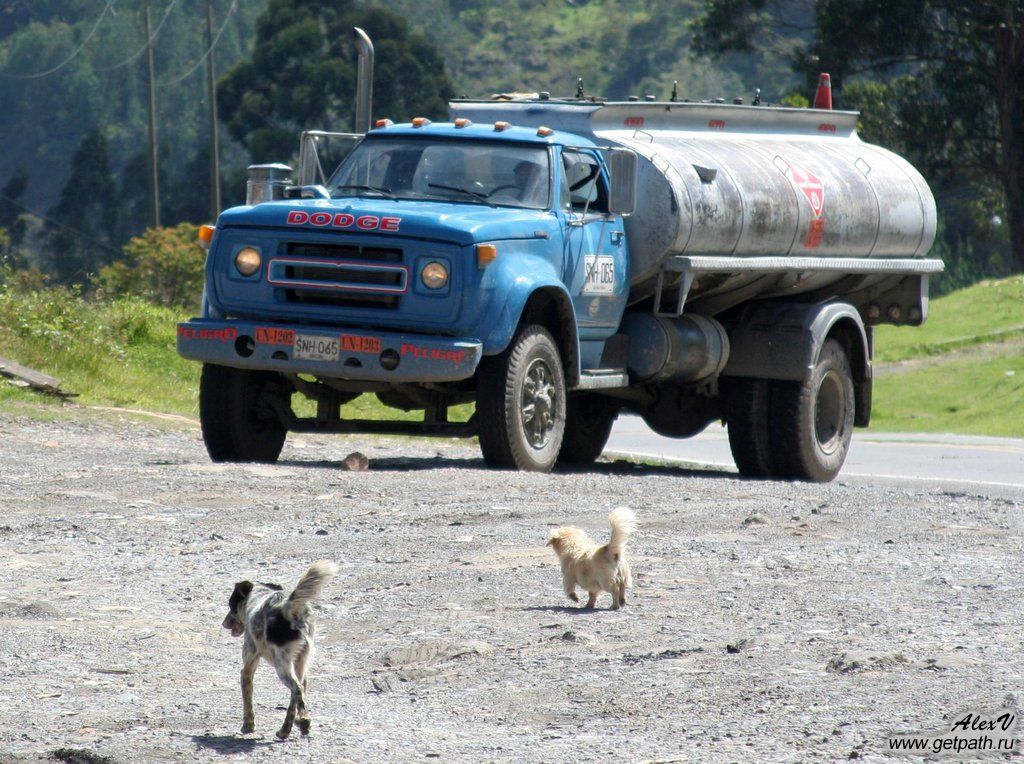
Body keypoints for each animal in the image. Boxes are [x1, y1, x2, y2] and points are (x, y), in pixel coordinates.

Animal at [222, 561, 337, 737]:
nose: (223, 623)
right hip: (300, 663)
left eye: (231, 606)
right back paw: (289, 728)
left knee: (297, 689)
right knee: (297, 695)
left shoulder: (248, 665)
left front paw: (248, 725)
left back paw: (302, 721)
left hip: (282, 665)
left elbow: (247, 698)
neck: (258, 597)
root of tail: (287, 608)